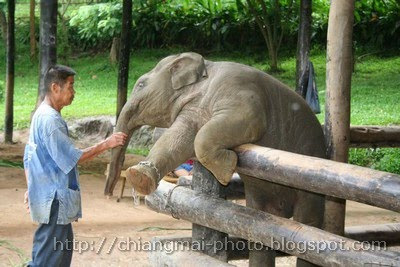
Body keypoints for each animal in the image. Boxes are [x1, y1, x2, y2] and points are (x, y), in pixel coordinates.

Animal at [104, 52, 326, 266]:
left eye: (141, 84)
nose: (108, 193)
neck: (204, 71)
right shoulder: (193, 110)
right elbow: (177, 139)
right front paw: (139, 177)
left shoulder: (239, 92)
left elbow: (239, 124)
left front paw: (226, 170)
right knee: (259, 233)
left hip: (311, 169)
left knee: (308, 226)